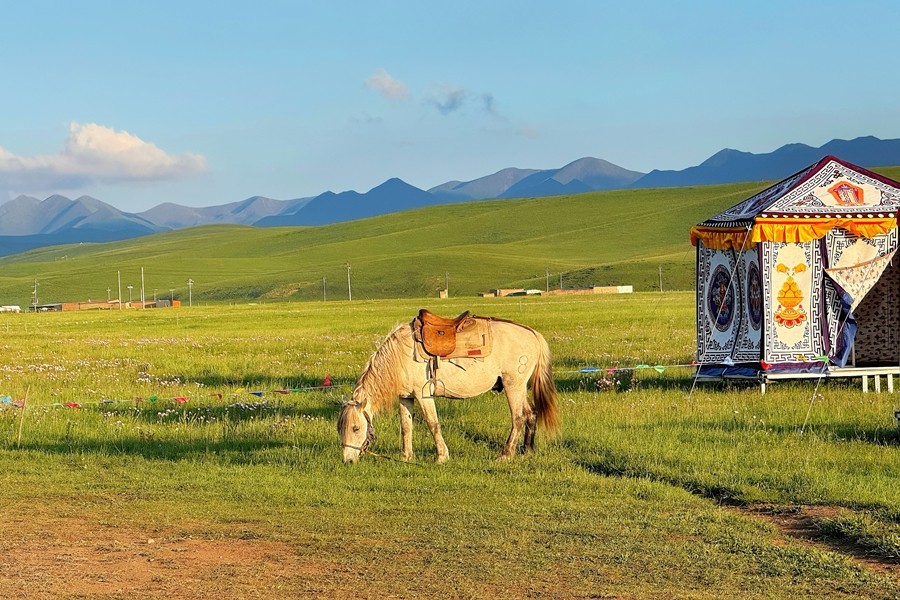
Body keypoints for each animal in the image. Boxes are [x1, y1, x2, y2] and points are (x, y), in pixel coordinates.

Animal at [338, 313, 559, 463]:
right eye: (340, 428)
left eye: (356, 428)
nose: (348, 460)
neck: (401, 355)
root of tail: (532, 333)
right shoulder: (406, 397)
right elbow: (406, 426)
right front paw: (407, 456)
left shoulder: (423, 395)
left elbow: (432, 423)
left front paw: (442, 457)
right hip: (519, 388)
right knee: (531, 413)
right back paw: (526, 451)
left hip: (513, 386)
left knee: (519, 418)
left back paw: (505, 455)